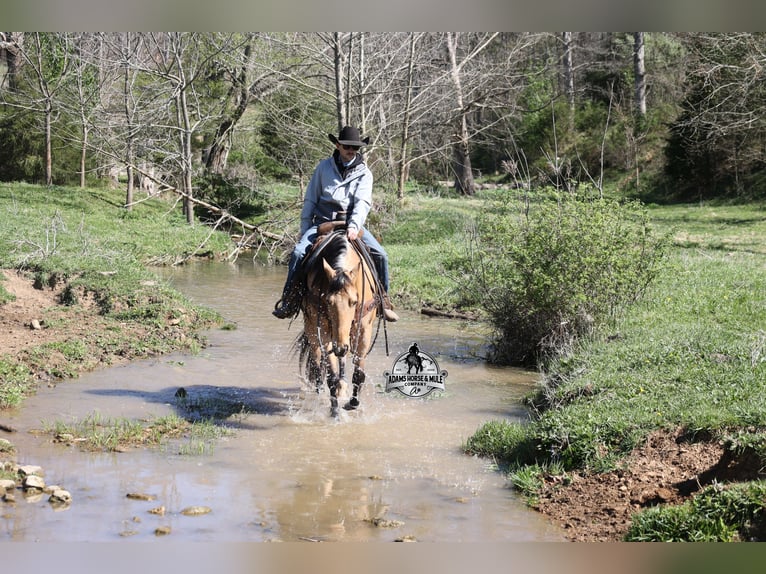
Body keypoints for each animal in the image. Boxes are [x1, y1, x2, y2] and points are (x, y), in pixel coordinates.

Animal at [298, 228, 380, 418]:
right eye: (328, 301)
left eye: (354, 301)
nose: (340, 347)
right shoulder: (324, 331)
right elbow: (331, 375)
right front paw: (334, 412)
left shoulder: (363, 329)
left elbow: (359, 373)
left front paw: (353, 403)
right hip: (313, 330)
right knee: (317, 363)